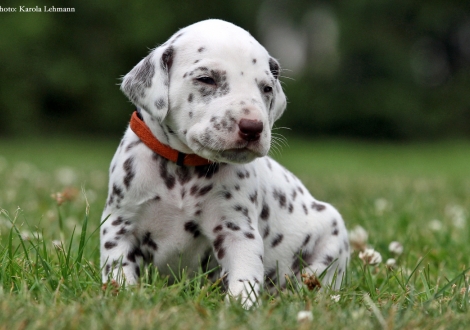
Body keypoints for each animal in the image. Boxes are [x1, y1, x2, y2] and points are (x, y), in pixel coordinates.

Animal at [100, 18, 348, 306]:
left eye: (266, 88)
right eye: (207, 79)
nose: (253, 127)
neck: (184, 168)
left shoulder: (236, 230)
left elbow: (245, 274)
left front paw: (242, 305)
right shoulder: (119, 225)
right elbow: (118, 268)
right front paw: (122, 294)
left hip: (332, 236)